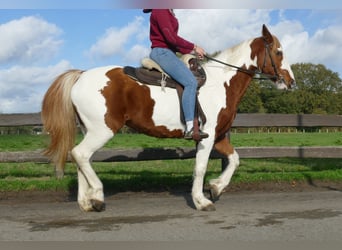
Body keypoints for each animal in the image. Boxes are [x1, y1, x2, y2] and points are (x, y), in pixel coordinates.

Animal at [42, 24, 294, 213]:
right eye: (278, 51)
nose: (290, 82)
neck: (221, 83)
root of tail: (81, 75)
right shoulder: (206, 137)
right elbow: (200, 168)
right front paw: (201, 200)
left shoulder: (220, 136)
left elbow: (235, 159)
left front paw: (216, 187)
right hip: (102, 130)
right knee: (80, 154)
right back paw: (97, 195)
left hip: (90, 131)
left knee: (81, 159)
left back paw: (85, 202)